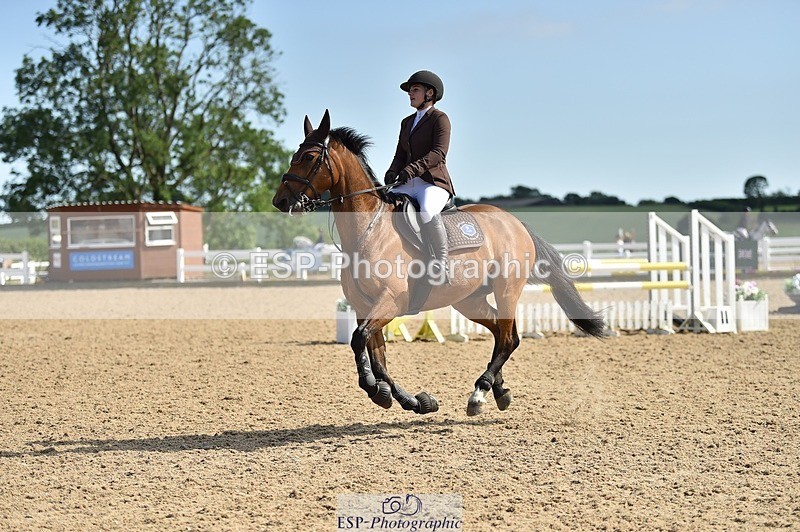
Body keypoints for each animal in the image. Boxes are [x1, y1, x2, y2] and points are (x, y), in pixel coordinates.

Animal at [272, 110, 605, 416]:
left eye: (309, 157)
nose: (280, 201)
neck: (369, 231)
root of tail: (514, 221)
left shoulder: (390, 301)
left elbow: (359, 341)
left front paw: (376, 390)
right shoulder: (364, 306)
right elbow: (377, 357)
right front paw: (411, 400)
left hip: (506, 289)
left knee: (509, 338)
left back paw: (480, 392)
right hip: (470, 300)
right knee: (501, 334)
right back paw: (499, 391)